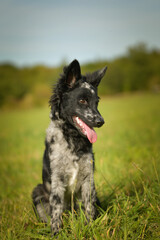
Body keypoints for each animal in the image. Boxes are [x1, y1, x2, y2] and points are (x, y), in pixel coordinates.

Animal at [31, 59, 107, 234]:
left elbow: (89, 208)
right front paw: (57, 233)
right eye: (82, 100)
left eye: (97, 102)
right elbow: (56, 211)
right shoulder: (57, 181)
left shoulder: (88, 179)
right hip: (37, 192)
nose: (101, 122)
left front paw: (90, 228)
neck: (73, 139)